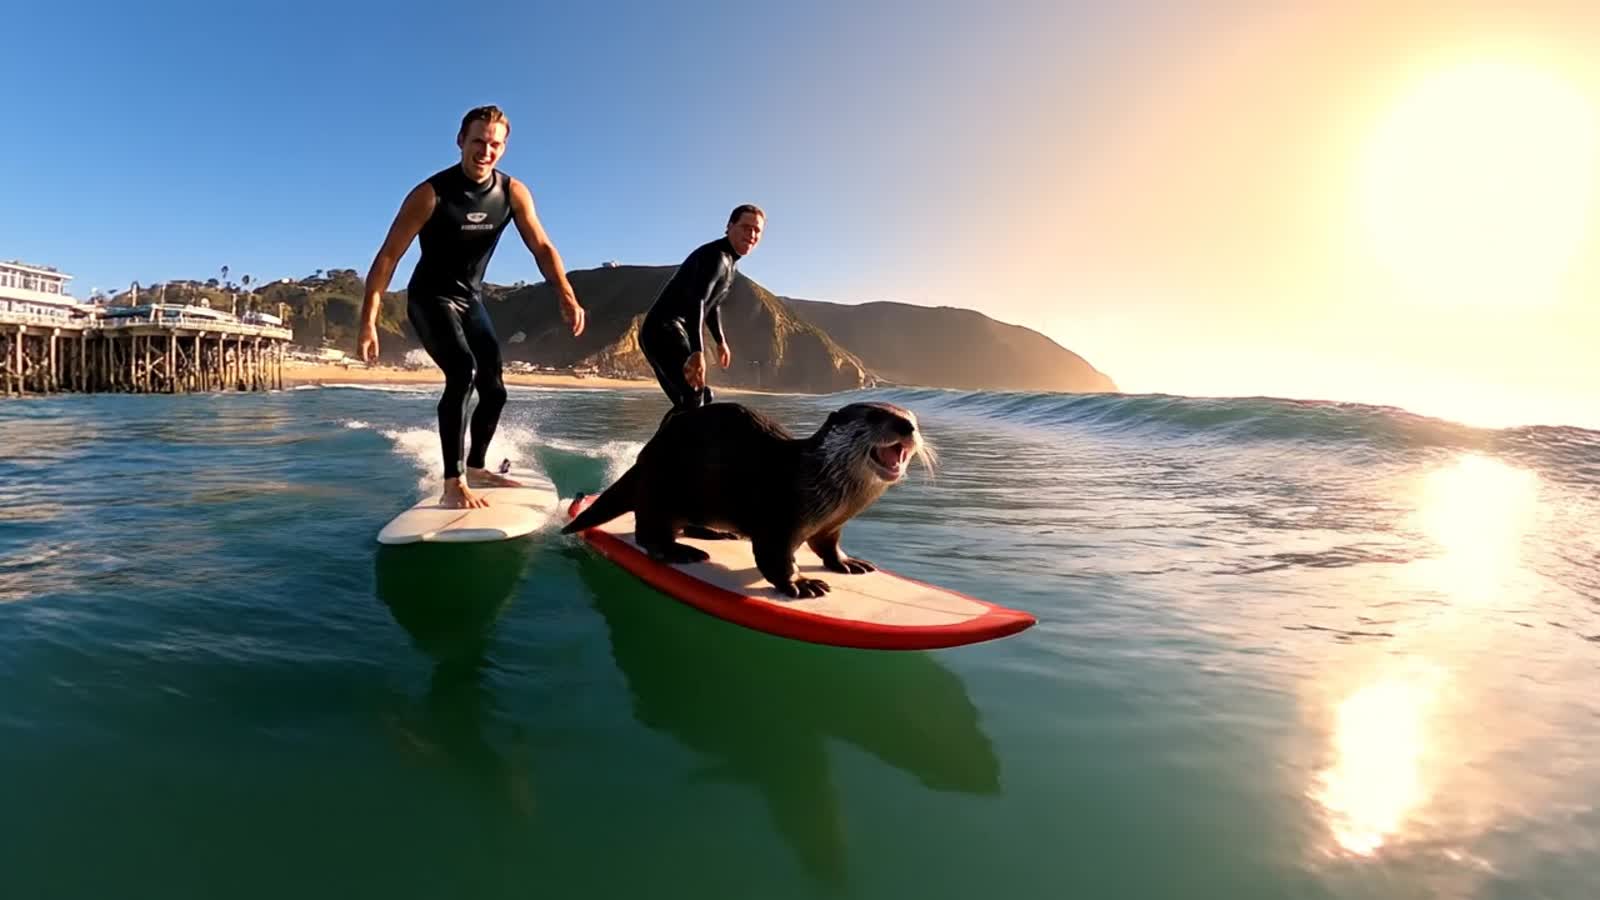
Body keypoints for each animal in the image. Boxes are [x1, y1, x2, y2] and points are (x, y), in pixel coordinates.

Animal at [561, 401, 932, 598]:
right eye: (873, 416)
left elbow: (827, 547)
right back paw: (683, 552)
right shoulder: (778, 518)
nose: (907, 426)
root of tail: (643, 457)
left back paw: (717, 534)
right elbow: (775, 559)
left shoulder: (831, 526)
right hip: (661, 488)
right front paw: (802, 584)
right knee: (648, 534)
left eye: (913, 417)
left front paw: (848, 563)